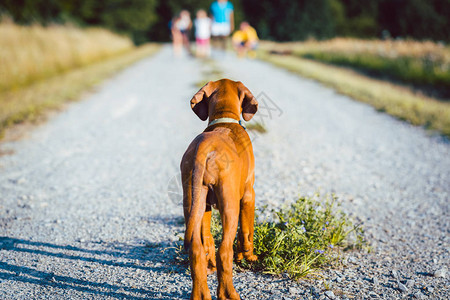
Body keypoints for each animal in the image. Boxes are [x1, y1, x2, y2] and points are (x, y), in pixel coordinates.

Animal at [181, 79, 258, 300]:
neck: (224, 120)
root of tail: (204, 148)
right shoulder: (249, 195)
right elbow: (246, 231)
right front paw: (248, 256)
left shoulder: (205, 205)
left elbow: (206, 239)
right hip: (230, 205)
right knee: (224, 250)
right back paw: (229, 293)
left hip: (192, 201)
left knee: (196, 250)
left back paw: (200, 293)